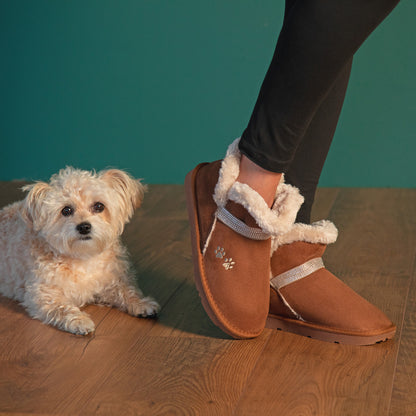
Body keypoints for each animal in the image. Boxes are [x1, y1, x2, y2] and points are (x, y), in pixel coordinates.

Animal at [0, 167, 158, 334]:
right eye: (66, 210)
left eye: (99, 206)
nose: (84, 227)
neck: (83, 257)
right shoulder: (43, 294)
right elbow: (62, 308)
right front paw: (80, 321)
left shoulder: (110, 281)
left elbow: (127, 290)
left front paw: (142, 303)